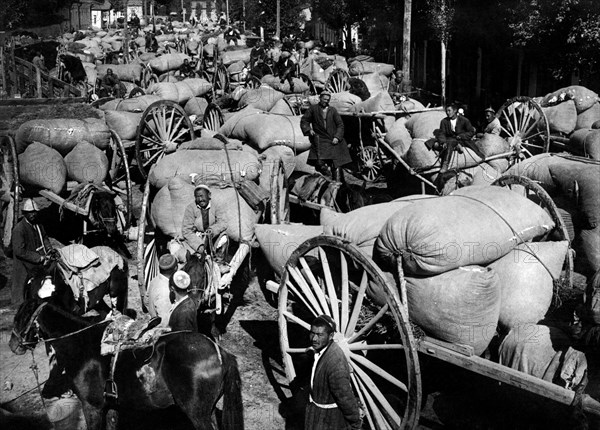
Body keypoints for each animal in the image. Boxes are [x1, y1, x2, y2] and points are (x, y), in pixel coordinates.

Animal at [9, 298, 244, 430]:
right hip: (208, 410)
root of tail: (220, 352)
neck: (83, 344)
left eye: (19, 318)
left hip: (198, 414)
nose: (12, 344)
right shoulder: (112, 406)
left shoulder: (92, 407)